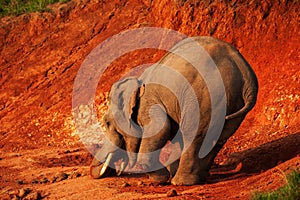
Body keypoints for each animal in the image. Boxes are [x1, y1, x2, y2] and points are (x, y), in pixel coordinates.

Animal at [89, 36, 258, 186]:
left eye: (106, 122)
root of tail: (244, 70)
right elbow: (174, 135)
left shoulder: (149, 102)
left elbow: (161, 129)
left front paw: (160, 179)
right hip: (230, 103)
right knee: (215, 138)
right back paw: (197, 178)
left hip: (207, 95)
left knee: (194, 133)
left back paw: (180, 182)